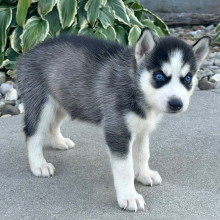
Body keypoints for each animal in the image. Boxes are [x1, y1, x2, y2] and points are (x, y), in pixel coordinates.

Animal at [16, 28, 210, 211]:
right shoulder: (118, 131)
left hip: (65, 100)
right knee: (32, 133)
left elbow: (143, 154)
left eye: (187, 78)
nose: (176, 104)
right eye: (159, 76)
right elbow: (125, 168)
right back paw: (39, 165)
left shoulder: (142, 129)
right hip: (43, 103)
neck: (134, 86)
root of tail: (29, 52)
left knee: (52, 125)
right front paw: (129, 196)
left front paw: (144, 174)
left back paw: (59, 142)